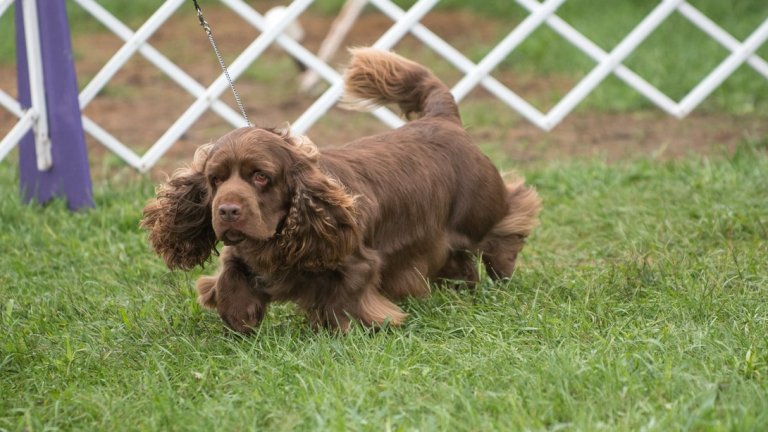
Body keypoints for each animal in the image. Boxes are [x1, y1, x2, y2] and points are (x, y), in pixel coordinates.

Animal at [142, 48, 540, 334]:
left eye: (260, 177)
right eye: (215, 179)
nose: (227, 211)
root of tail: (443, 119)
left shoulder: (357, 262)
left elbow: (342, 300)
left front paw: (347, 330)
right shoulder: (244, 254)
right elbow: (229, 277)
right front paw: (239, 317)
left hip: (479, 211)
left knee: (510, 217)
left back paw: (502, 267)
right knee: (461, 262)